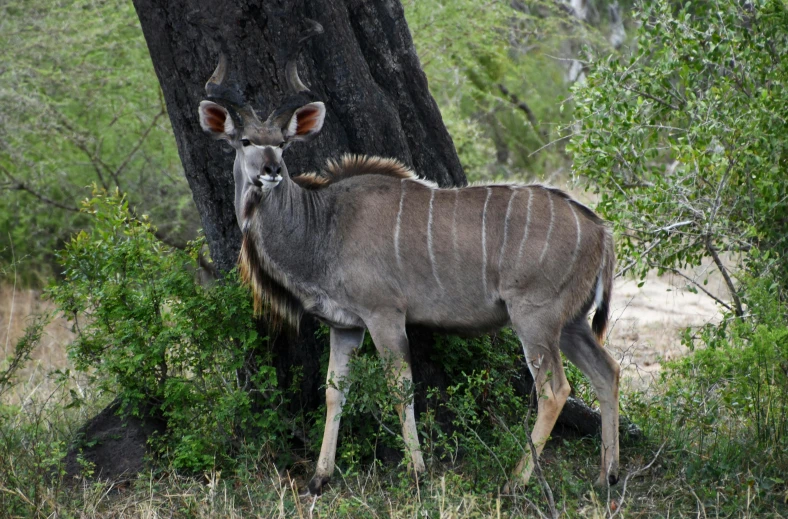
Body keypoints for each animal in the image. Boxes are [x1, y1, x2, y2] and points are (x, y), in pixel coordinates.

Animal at [199, 30, 620, 498]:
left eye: (283, 142)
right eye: (245, 141)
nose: (272, 170)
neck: (324, 224)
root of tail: (600, 230)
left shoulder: (384, 315)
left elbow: (400, 388)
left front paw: (418, 473)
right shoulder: (345, 326)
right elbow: (334, 391)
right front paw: (319, 477)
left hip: (534, 317)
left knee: (555, 389)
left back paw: (515, 481)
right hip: (571, 323)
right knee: (607, 373)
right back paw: (606, 475)